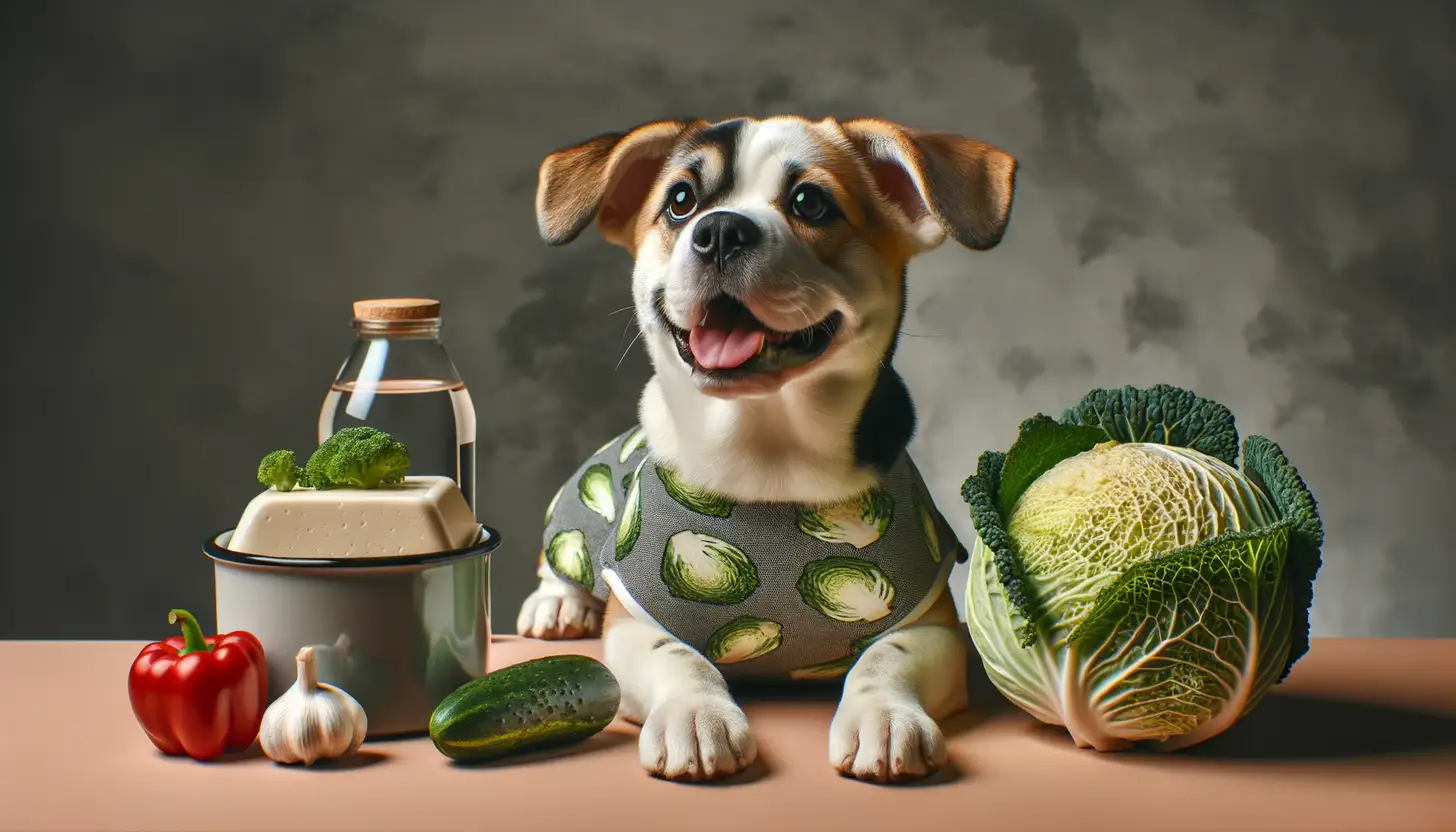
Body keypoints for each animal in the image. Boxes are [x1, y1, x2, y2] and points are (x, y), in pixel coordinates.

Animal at [512, 113, 1013, 786]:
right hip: (576, 498)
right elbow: (678, 657)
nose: (720, 229)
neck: (767, 451)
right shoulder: (632, 626)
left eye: (810, 202)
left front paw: (884, 716)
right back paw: (556, 606)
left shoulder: (932, 626)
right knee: (563, 552)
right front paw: (696, 715)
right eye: (680, 200)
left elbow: (887, 657)